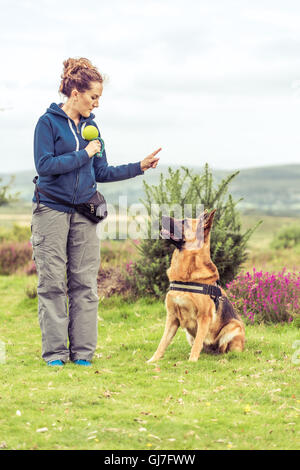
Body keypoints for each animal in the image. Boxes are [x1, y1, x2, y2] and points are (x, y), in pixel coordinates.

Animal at [146, 210, 245, 364]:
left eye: (185, 221)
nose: (162, 216)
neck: (187, 276)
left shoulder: (204, 317)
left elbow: (198, 342)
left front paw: (191, 362)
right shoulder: (172, 317)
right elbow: (163, 342)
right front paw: (153, 360)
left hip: (234, 326)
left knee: (223, 347)